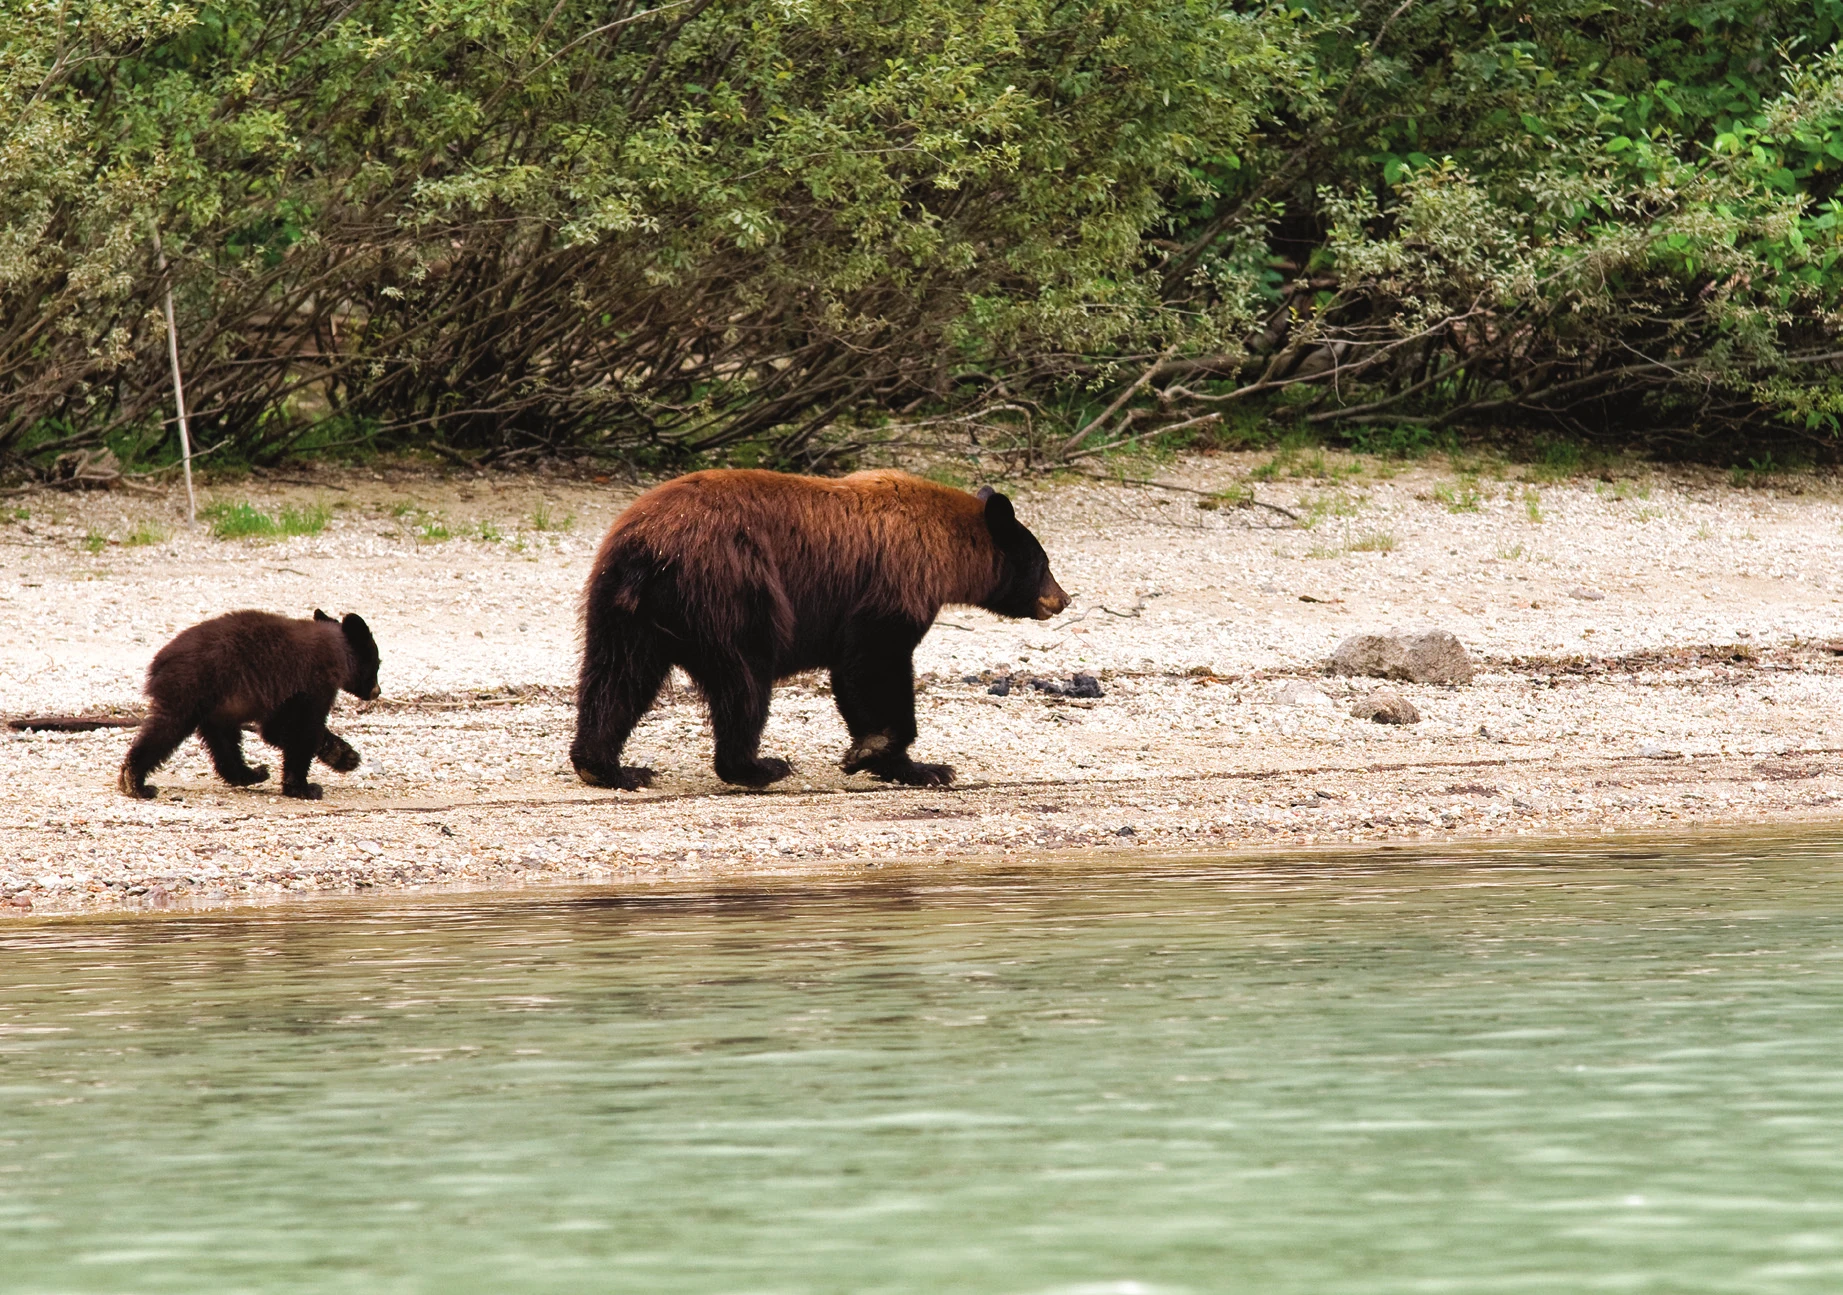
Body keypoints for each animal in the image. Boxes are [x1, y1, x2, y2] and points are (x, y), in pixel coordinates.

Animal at [118, 609, 381, 801]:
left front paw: (345, 755)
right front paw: (303, 787)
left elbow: (277, 729)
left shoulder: (284, 693)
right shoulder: (312, 684)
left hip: (217, 703)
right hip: (192, 688)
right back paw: (136, 782)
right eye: (377, 663)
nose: (377, 691)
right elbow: (301, 731)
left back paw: (251, 774)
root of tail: (159, 662)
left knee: (224, 743)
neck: (338, 652)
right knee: (167, 729)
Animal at [570, 469, 1069, 791]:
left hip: (623, 606)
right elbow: (875, 663)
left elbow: (856, 678)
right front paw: (879, 750)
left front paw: (916, 767)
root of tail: (648, 551)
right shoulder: (894, 585)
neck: (945, 546)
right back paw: (757, 767)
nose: (1063, 598)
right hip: (731, 590)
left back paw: (608, 768)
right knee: (743, 678)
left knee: (617, 677)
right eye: (1044, 563)